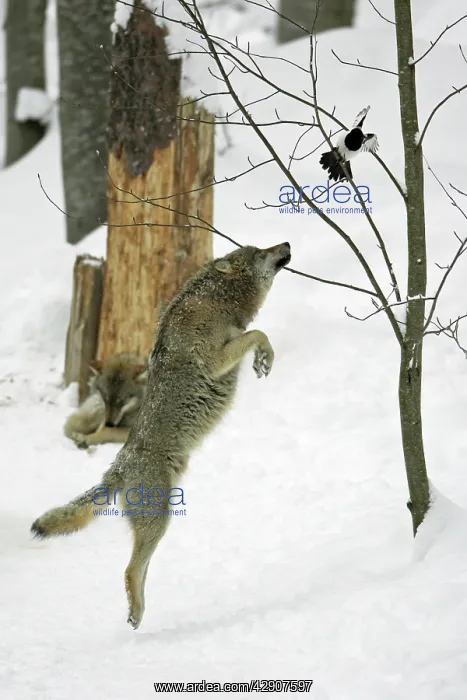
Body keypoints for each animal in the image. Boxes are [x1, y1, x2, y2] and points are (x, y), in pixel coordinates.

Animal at [31, 242, 291, 629]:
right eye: (261, 251)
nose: (286, 244)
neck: (216, 300)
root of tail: (119, 466)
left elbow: (258, 335)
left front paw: (265, 360)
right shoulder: (217, 357)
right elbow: (257, 334)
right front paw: (264, 356)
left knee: (137, 569)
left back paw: (138, 615)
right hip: (159, 520)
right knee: (129, 569)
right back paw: (136, 614)